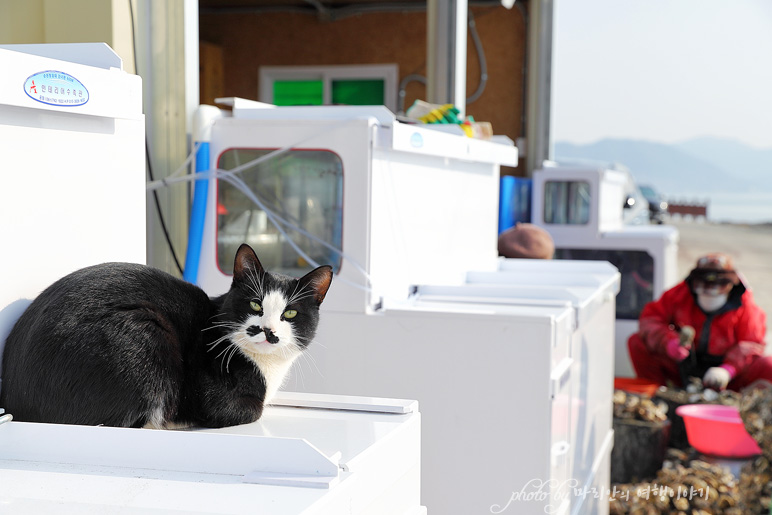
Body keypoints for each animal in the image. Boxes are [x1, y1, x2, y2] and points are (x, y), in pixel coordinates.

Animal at [0, 244, 328, 430]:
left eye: (290, 314)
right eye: (255, 305)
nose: (268, 330)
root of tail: (15, 399)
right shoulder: (210, 391)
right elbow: (248, 409)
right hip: (143, 332)